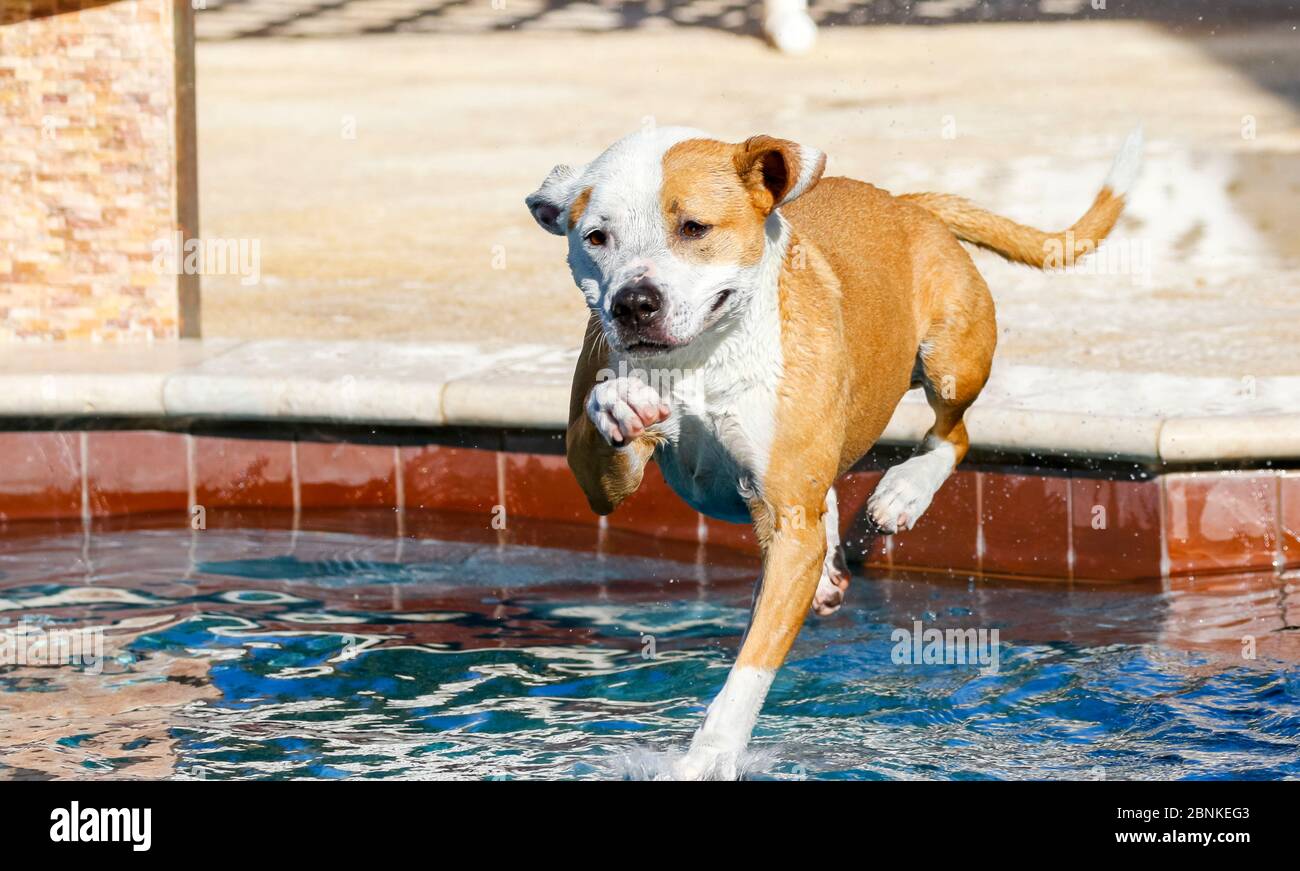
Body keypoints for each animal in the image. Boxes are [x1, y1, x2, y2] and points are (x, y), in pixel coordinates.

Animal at [522, 126, 1144, 780]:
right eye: (597, 237)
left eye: (693, 227)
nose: (634, 302)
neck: (704, 356)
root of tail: (905, 202)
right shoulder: (605, 480)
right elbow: (604, 438)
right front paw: (619, 401)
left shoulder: (787, 518)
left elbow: (750, 669)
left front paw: (709, 757)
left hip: (952, 357)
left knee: (954, 434)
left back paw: (903, 492)